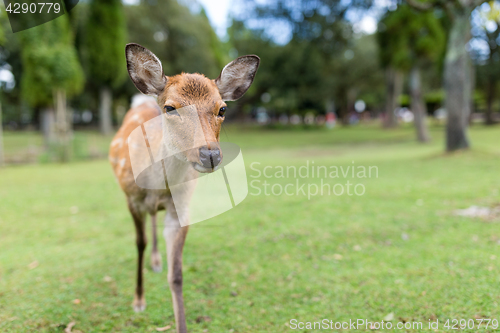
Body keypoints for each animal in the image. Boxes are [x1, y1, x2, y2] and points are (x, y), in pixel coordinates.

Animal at [108, 42, 260, 330]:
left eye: (222, 109)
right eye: (170, 107)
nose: (210, 155)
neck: (156, 186)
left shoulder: (181, 208)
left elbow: (176, 275)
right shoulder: (130, 199)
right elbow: (139, 243)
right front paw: (138, 300)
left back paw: (157, 261)